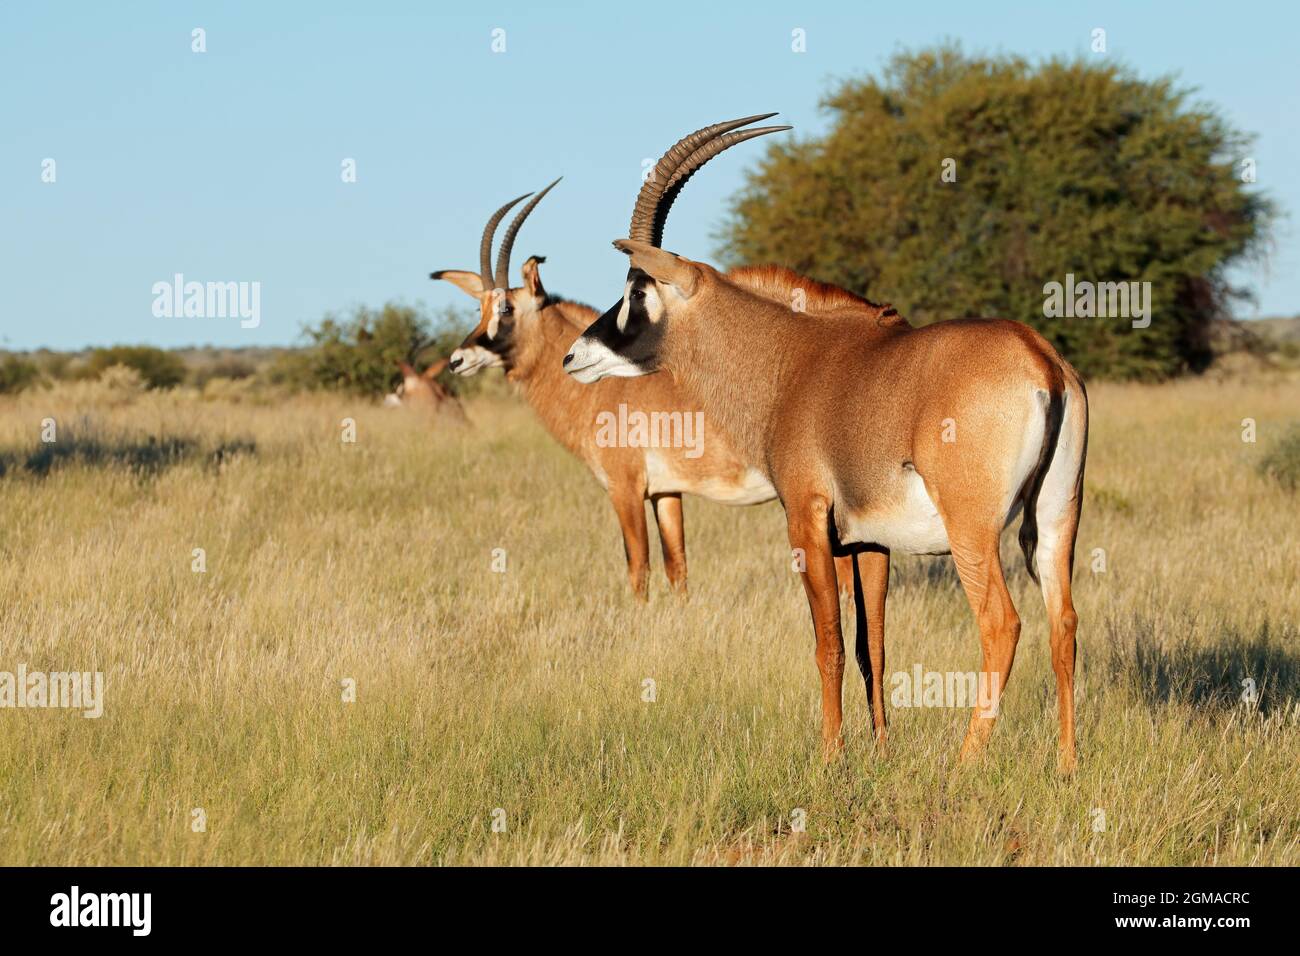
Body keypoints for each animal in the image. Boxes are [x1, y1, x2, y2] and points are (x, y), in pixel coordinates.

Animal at [431, 175, 857, 600]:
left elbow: (638, 566)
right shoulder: (665, 493)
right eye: (480, 308)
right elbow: (677, 566)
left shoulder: (626, 489)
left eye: (506, 309)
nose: (457, 360)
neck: (599, 394)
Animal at [569, 115, 1086, 770]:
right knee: (1064, 622)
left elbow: (829, 643)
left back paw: (964, 763)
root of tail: (1040, 358)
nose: (575, 355)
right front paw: (881, 748)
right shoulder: (866, 543)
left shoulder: (806, 521)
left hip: (972, 531)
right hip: (1054, 519)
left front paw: (830, 756)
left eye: (638, 290)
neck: (794, 358)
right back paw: (1067, 764)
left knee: (1001, 623)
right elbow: (873, 647)